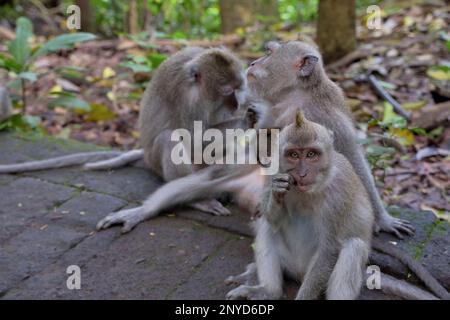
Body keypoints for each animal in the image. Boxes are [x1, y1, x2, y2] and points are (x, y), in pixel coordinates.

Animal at [227, 113, 374, 300]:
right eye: (294, 155)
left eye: (311, 154)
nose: (303, 174)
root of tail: (299, 274)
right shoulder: (274, 171)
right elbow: (273, 221)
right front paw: (277, 193)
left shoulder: (339, 193)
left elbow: (329, 250)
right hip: (290, 263)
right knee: (267, 227)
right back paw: (269, 291)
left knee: (354, 247)